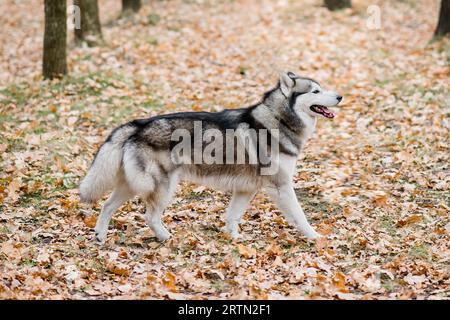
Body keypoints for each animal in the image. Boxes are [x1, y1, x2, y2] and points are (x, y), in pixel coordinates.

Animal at [80, 71, 342, 244]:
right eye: (316, 91)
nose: (339, 96)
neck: (278, 120)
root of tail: (138, 124)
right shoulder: (282, 186)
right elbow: (300, 216)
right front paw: (315, 237)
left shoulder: (245, 189)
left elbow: (233, 216)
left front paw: (234, 238)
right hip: (159, 186)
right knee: (150, 216)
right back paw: (166, 237)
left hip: (132, 185)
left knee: (106, 206)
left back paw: (100, 236)